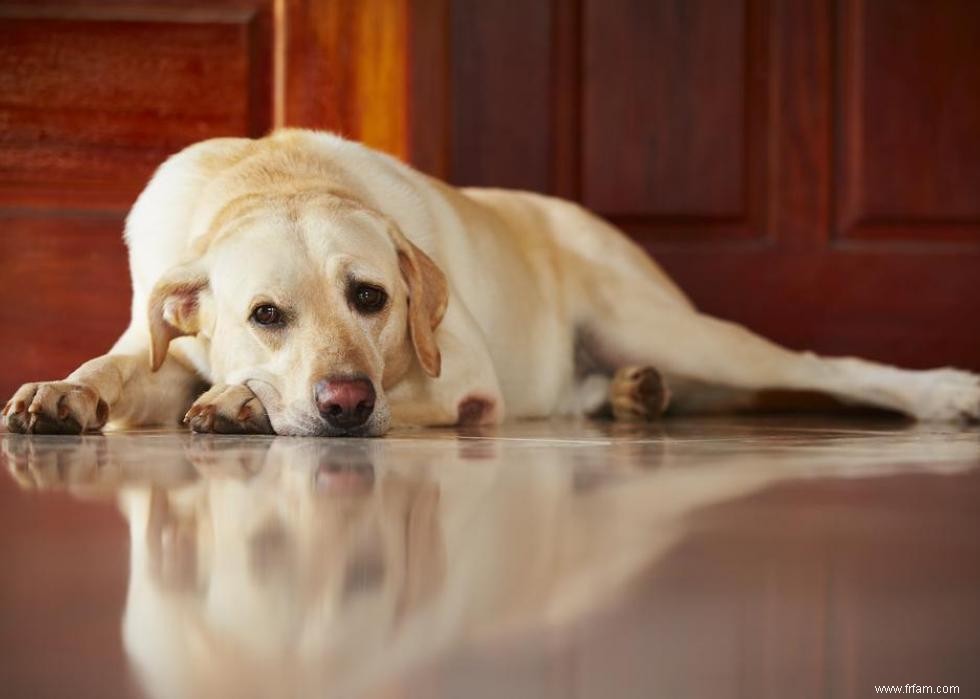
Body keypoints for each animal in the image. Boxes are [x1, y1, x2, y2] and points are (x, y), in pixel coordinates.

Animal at [1, 130, 980, 438]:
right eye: (265, 314)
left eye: (372, 297)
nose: (346, 403)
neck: (272, 177)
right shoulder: (159, 346)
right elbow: (116, 367)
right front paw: (61, 391)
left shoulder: (463, 383)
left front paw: (241, 402)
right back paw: (634, 394)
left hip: (669, 325)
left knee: (823, 366)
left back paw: (944, 393)